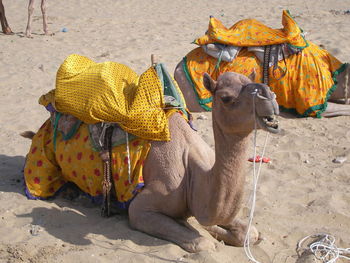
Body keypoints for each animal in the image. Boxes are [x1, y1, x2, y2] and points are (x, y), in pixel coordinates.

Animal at [21, 71, 278, 253]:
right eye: (226, 97)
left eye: (250, 80)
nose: (270, 95)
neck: (194, 172)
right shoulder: (141, 208)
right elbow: (201, 242)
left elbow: (249, 233)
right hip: (42, 155)